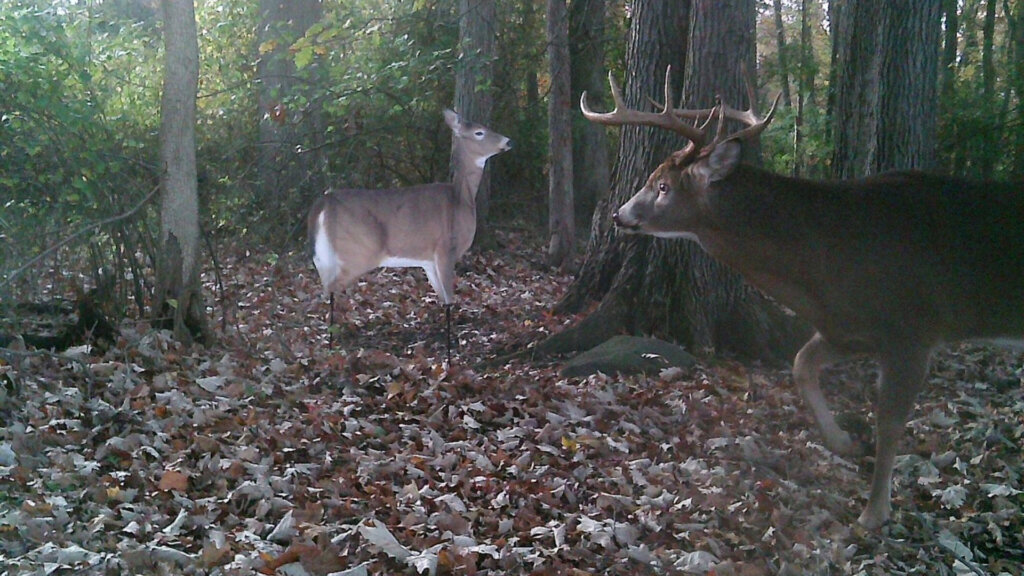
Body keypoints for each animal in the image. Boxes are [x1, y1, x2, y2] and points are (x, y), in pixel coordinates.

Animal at [307, 109, 511, 362]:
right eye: (479, 132)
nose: (508, 141)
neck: (461, 200)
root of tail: (323, 201)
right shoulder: (446, 248)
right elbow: (450, 299)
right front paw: (449, 357)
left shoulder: (428, 259)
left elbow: (443, 299)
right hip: (358, 249)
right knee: (331, 287)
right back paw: (331, 344)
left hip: (327, 254)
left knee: (325, 286)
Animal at [581, 67, 1024, 529]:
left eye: (663, 185)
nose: (619, 214)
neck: (827, 265)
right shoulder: (845, 327)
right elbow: (800, 364)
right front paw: (844, 441)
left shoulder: (913, 331)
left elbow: (889, 423)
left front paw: (873, 512)